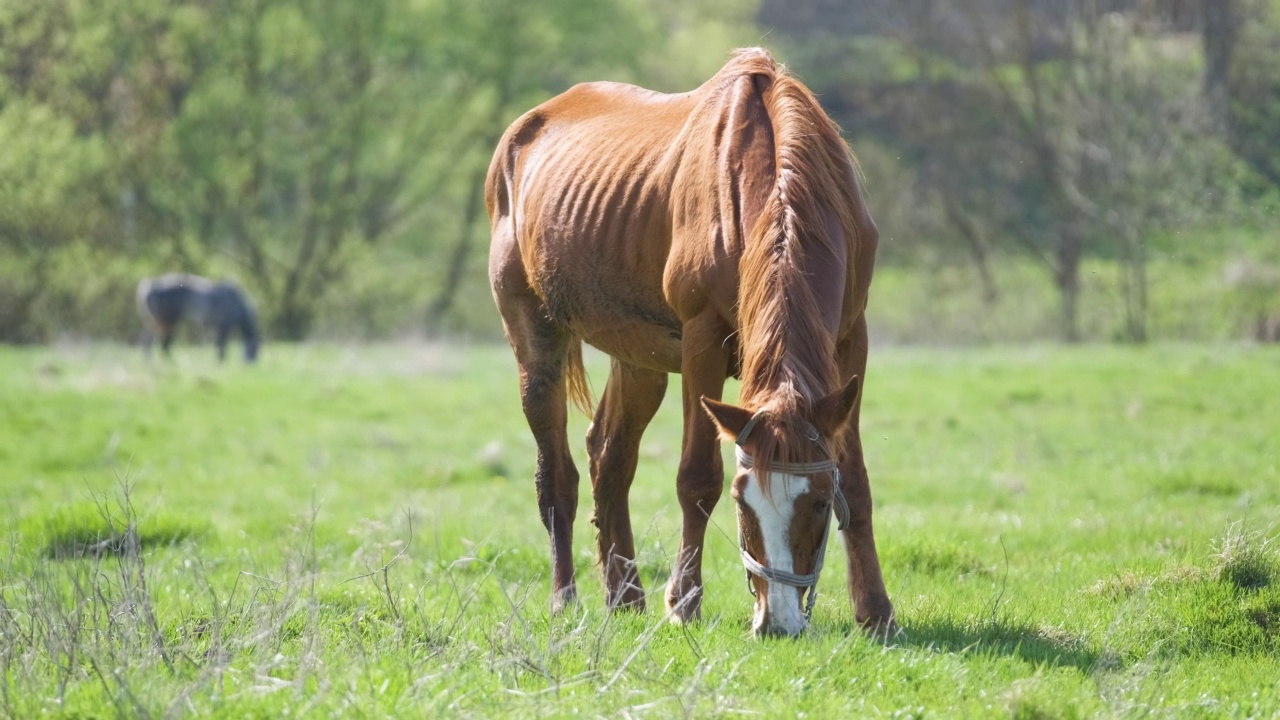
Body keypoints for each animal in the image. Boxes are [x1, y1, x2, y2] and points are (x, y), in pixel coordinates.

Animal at [483, 49, 896, 632]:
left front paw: (876, 611)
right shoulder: (703, 341)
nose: (779, 621)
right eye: (744, 504)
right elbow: (698, 477)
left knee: (609, 456)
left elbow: (855, 481)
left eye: (817, 502)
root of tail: (519, 133)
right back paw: (566, 598)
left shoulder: (848, 340)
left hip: (639, 357)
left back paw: (625, 594)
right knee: (557, 474)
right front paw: (684, 601)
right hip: (535, 337)